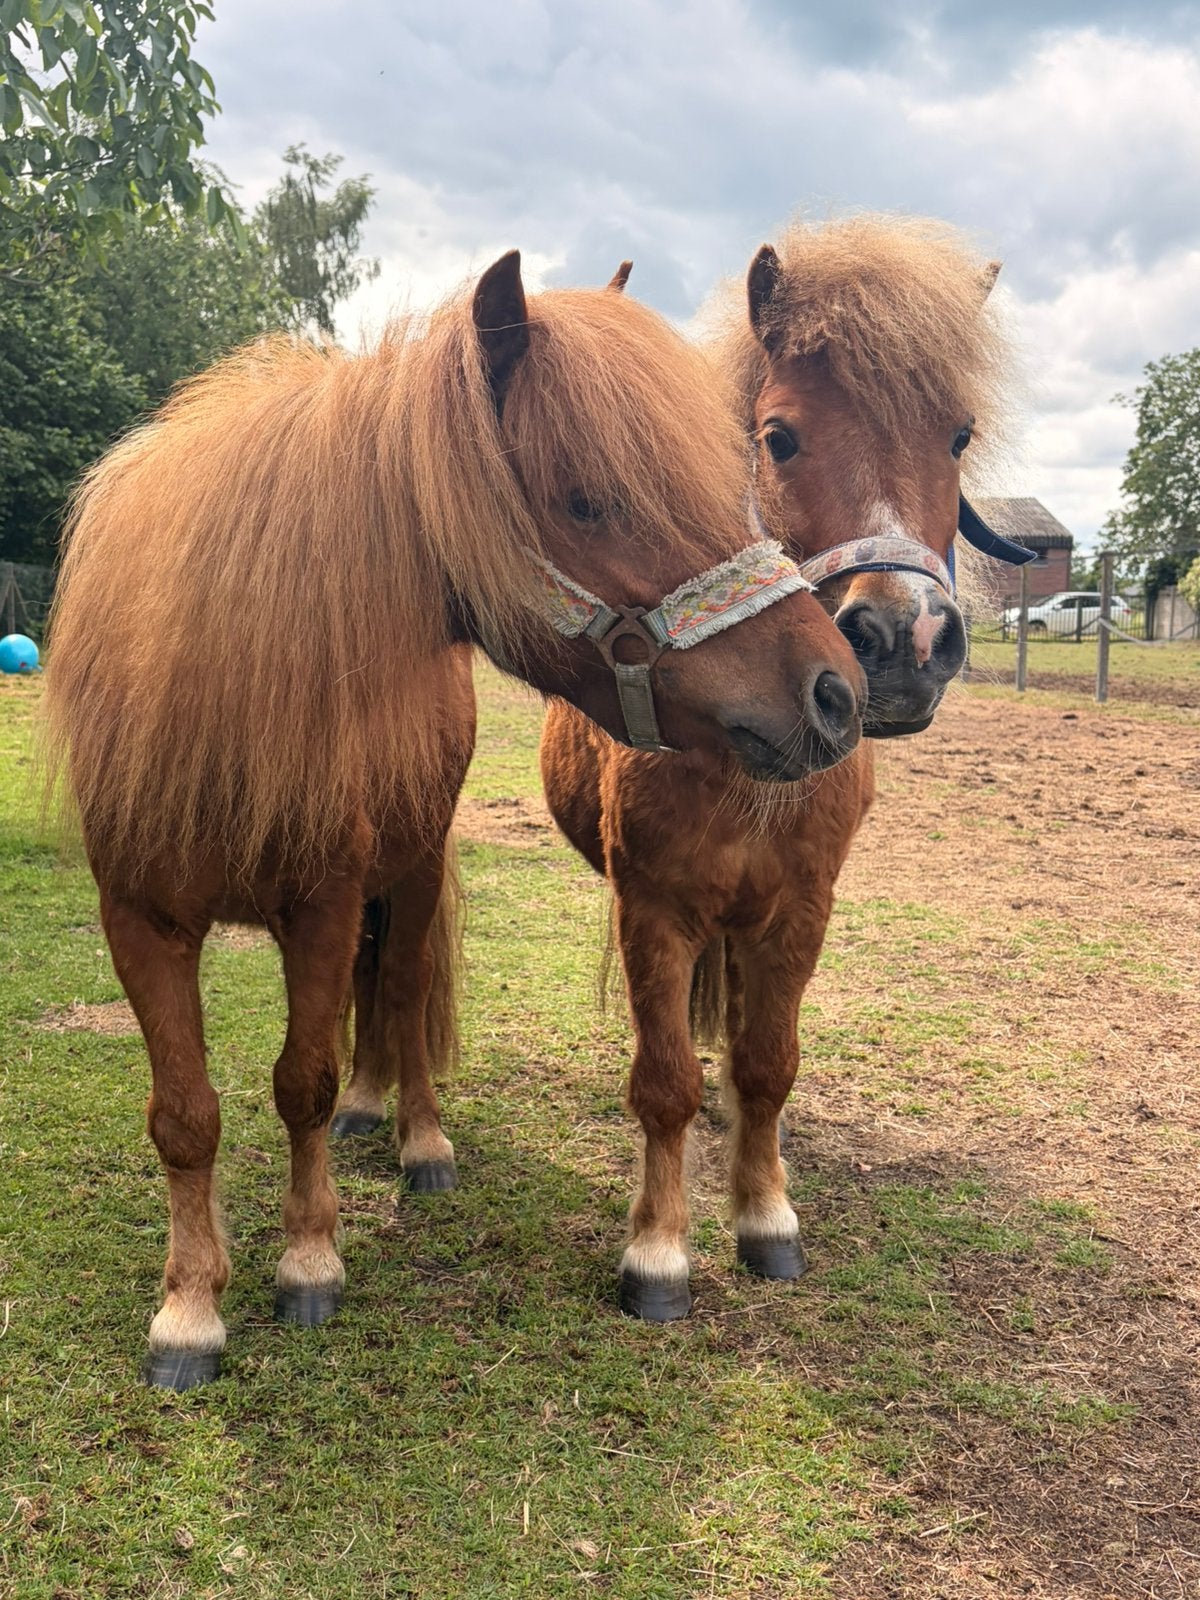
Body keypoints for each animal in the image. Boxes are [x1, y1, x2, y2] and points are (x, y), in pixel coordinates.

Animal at [44, 250, 866, 1389]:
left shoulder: (321, 906)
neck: (218, 697)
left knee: (397, 990)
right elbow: (185, 1116)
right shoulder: (142, 924)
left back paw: (419, 1141)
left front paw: (308, 1262)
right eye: (590, 501)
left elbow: (300, 1080)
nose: (838, 690)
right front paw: (188, 1309)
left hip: (413, 868)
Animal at [539, 216, 1023, 1319]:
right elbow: (662, 1079)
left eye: (958, 435)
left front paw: (764, 1212)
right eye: (779, 436)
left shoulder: (801, 907)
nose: (902, 641)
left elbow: (767, 1061)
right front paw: (659, 1250)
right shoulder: (654, 908)